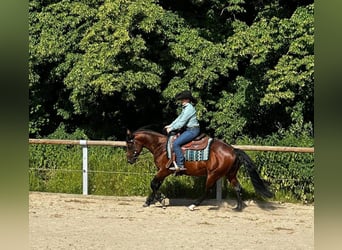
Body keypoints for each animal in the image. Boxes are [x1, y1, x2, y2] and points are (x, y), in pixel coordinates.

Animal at [125, 128, 272, 210]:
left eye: (129, 145)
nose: (129, 160)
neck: (161, 147)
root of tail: (233, 150)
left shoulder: (164, 170)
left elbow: (153, 184)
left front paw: (161, 199)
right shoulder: (162, 171)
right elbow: (155, 185)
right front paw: (149, 201)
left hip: (213, 174)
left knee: (208, 191)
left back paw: (193, 205)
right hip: (230, 174)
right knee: (238, 188)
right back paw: (238, 207)